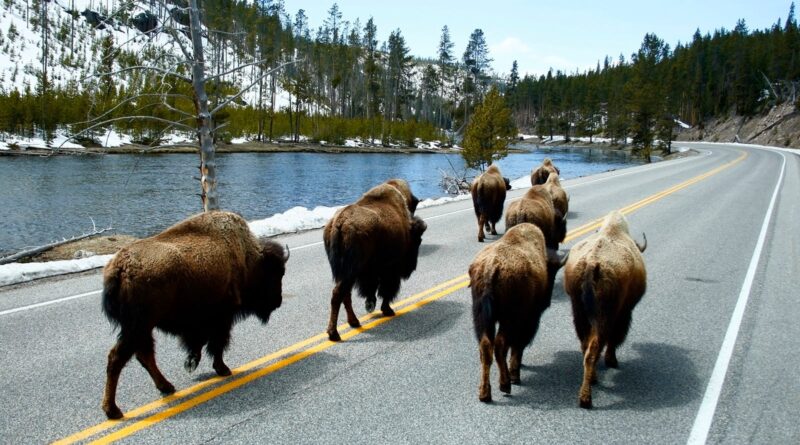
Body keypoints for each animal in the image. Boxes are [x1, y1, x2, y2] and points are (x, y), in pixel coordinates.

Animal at [99, 210, 288, 418]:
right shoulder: (222, 317)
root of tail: (120, 268)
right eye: (275, 273)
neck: (246, 257)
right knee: (118, 358)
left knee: (144, 355)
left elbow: (201, 342)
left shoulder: (203, 322)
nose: (278, 301)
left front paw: (192, 362)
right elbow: (217, 343)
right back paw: (113, 410)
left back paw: (166, 387)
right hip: (138, 327)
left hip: (142, 329)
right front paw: (222, 369)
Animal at [324, 179, 428, 342]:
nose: (412, 267)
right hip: (351, 272)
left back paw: (354, 322)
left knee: (345, 295)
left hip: (347, 273)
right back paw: (334, 333)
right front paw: (388, 310)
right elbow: (386, 290)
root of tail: (339, 223)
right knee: (338, 295)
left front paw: (371, 305)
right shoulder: (391, 270)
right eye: (418, 240)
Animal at [468, 224, 568, 400]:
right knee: (500, 345)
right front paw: (515, 373)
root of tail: (491, 267)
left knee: (486, 347)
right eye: (552, 273)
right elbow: (518, 345)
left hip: (482, 318)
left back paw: (485, 394)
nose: (547, 301)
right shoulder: (529, 319)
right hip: (510, 319)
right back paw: (506, 384)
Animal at [564, 210, 648, 408]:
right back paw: (586, 398)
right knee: (594, 348)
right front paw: (612, 361)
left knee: (585, 345)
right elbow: (615, 338)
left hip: (579, 313)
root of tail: (592, 264)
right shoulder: (623, 313)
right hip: (603, 317)